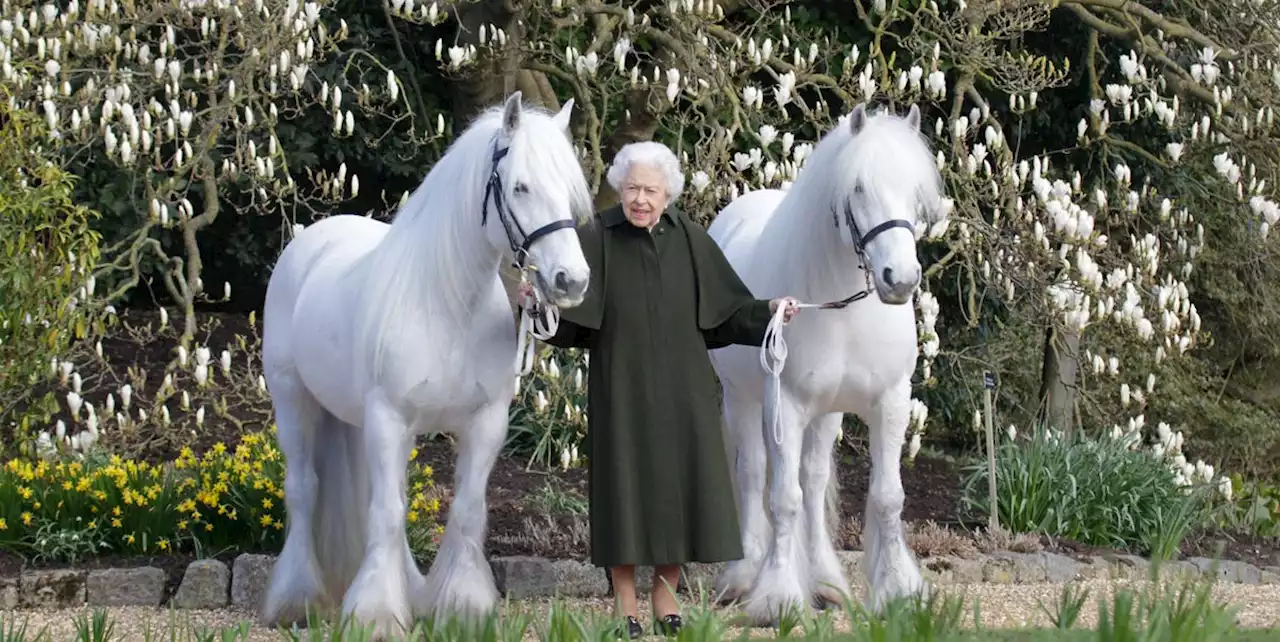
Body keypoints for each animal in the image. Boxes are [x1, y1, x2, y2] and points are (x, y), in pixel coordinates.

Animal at [261, 91, 599, 636]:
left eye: (570, 191)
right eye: (521, 186)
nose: (572, 280)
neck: (447, 306)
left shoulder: (485, 423)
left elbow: (463, 510)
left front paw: (461, 606)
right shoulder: (388, 418)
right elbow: (386, 513)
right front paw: (376, 615)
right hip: (294, 401)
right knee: (305, 490)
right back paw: (297, 599)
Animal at [706, 102, 947, 624]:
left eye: (915, 192)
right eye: (857, 188)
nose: (900, 279)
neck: (843, 308)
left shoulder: (890, 402)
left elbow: (886, 497)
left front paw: (897, 591)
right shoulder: (786, 406)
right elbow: (783, 498)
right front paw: (777, 597)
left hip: (827, 412)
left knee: (814, 481)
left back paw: (825, 581)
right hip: (742, 400)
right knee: (754, 474)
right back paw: (744, 576)